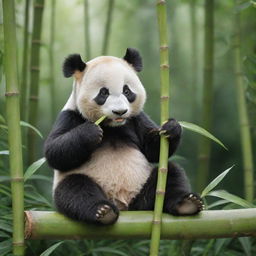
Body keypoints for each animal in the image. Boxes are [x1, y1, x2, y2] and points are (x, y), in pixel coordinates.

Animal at [44, 47, 204, 224]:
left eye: (127, 91)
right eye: (103, 93)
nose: (120, 111)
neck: (113, 126)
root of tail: (126, 207)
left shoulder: (135, 119)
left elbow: (153, 149)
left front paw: (171, 128)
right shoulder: (70, 116)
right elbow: (55, 152)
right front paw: (90, 132)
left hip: (146, 194)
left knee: (171, 174)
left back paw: (187, 203)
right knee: (75, 188)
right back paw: (103, 211)